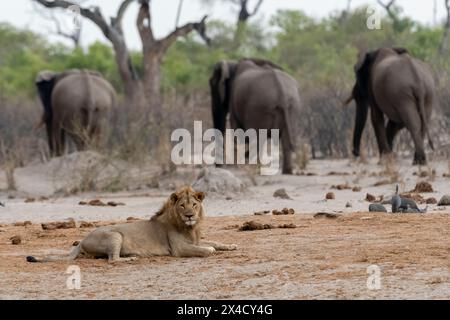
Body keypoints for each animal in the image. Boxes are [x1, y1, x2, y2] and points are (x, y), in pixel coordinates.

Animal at [26, 186, 237, 264]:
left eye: (194, 204)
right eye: (182, 205)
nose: (190, 215)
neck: (191, 227)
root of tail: (81, 240)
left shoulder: (195, 239)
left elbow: (215, 242)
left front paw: (231, 245)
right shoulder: (179, 248)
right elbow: (207, 249)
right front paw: (211, 250)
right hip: (115, 235)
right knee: (112, 259)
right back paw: (131, 258)